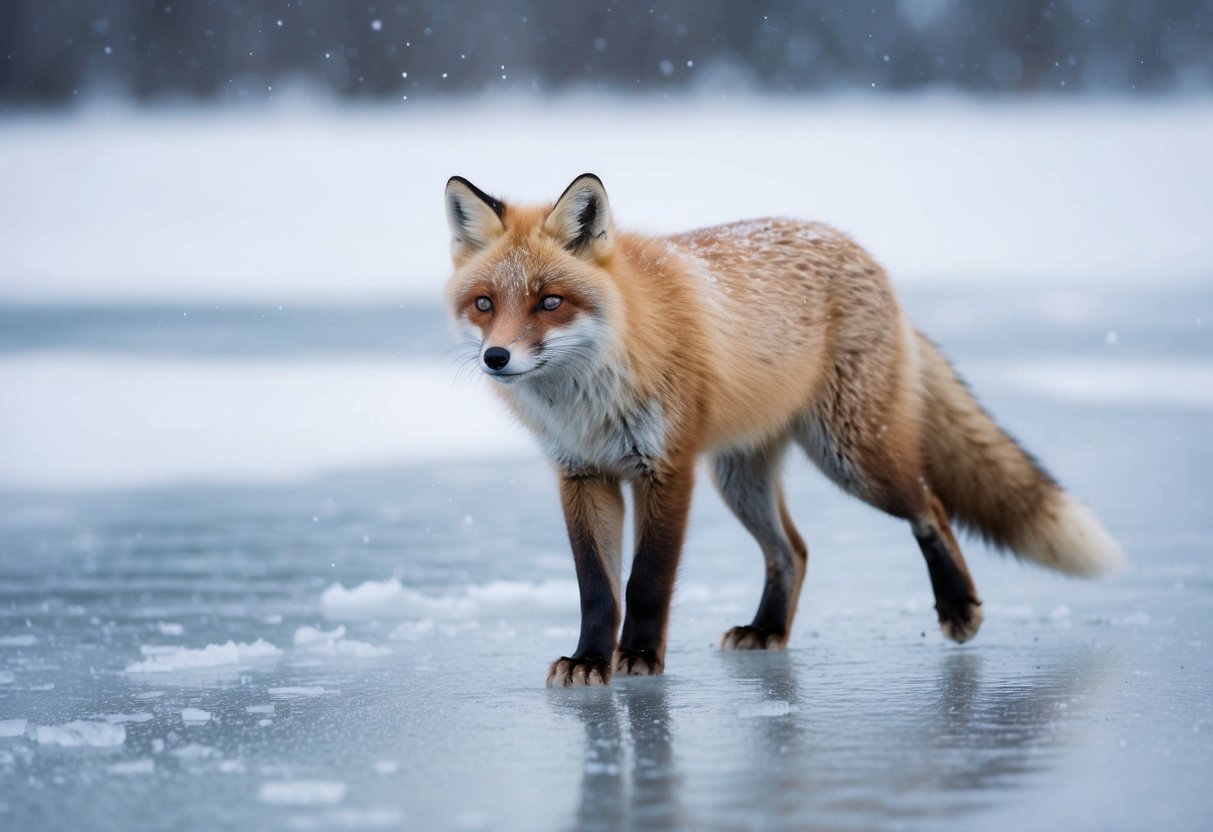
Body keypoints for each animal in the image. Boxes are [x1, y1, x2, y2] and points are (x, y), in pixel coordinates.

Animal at [443, 172, 1126, 687]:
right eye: (485, 304)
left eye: (549, 302)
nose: (496, 358)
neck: (592, 395)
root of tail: (859, 249)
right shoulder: (583, 475)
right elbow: (597, 589)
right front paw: (590, 660)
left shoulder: (667, 469)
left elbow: (646, 581)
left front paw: (637, 656)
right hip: (740, 478)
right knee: (791, 551)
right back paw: (768, 629)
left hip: (852, 458)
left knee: (930, 507)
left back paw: (958, 607)